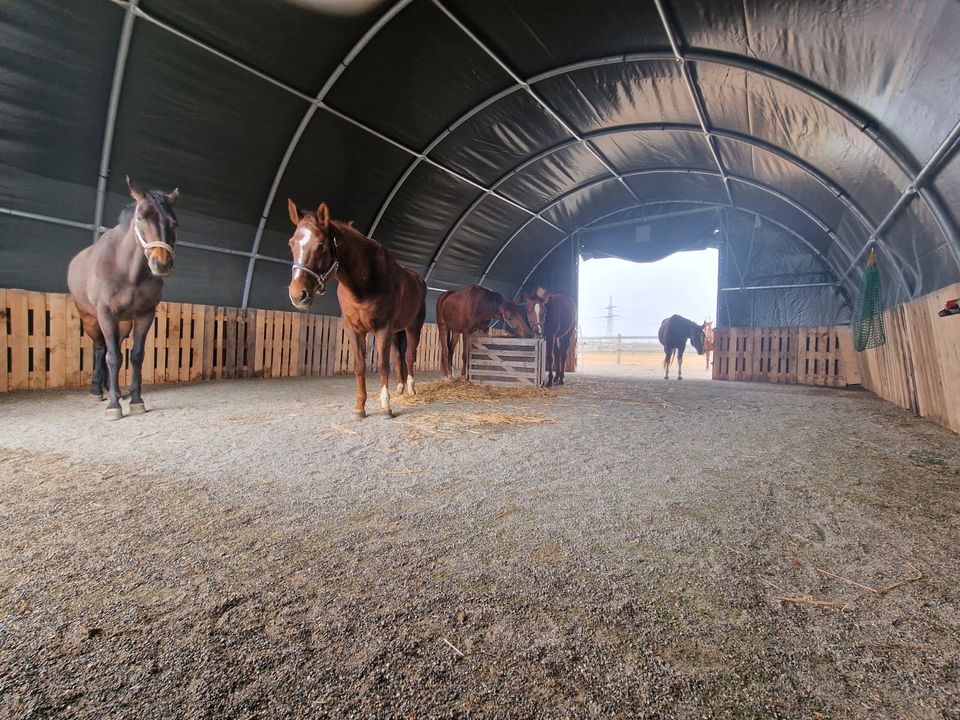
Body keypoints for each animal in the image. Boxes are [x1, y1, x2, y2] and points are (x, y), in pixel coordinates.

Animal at [68, 176, 181, 420]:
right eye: (140, 218)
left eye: (174, 223)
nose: (161, 264)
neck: (128, 272)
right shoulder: (106, 314)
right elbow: (111, 357)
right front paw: (113, 406)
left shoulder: (145, 315)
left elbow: (135, 356)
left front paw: (136, 400)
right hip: (91, 318)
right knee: (101, 349)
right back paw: (97, 391)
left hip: (124, 323)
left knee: (115, 349)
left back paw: (114, 391)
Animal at [284, 200, 428, 420]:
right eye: (292, 243)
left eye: (321, 245)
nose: (297, 295)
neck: (365, 283)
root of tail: (419, 279)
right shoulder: (354, 329)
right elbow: (360, 366)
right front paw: (360, 408)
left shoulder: (383, 329)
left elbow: (382, 366)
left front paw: (386, 408)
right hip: (397, 332)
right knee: (398, 357)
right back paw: (400, 388)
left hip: (413, 327)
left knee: (410, 355)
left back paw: (411, 389)